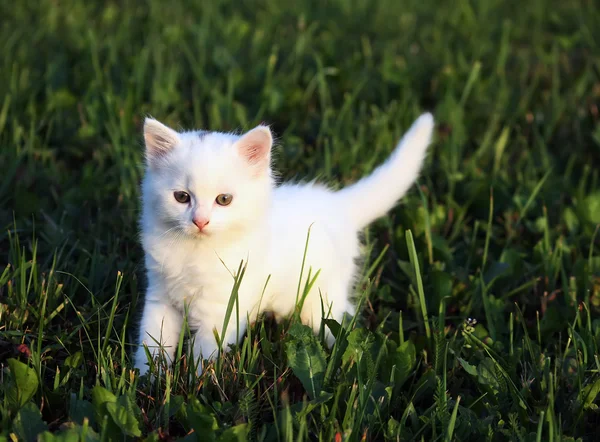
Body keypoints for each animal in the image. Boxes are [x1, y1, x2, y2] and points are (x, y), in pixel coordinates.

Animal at [134, 112, 434, 374]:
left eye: (224, 200)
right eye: (182, 197)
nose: (200, 221)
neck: (194, 252)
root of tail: (338, 203)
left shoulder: (224, 306)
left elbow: (204, 351)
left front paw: (195, 382)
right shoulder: (160, 296)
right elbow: (152, 341)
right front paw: (149, 378)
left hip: (322, 299)